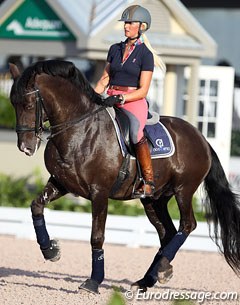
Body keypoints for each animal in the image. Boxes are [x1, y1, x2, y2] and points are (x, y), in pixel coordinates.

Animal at [8, 58, 240, 292]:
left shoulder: (99, 192)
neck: (79, 129)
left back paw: (161, 268)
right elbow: (36, 206)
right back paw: (151, 276)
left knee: (187, 225)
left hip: (183, 190)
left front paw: (93, 281)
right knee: (167, 232)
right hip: (154, 200)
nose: (25, 147)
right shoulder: (61, 183)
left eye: (29, 105)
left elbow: (97, 236)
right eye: (13, 105)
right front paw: (50, 250)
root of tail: (201, 137)